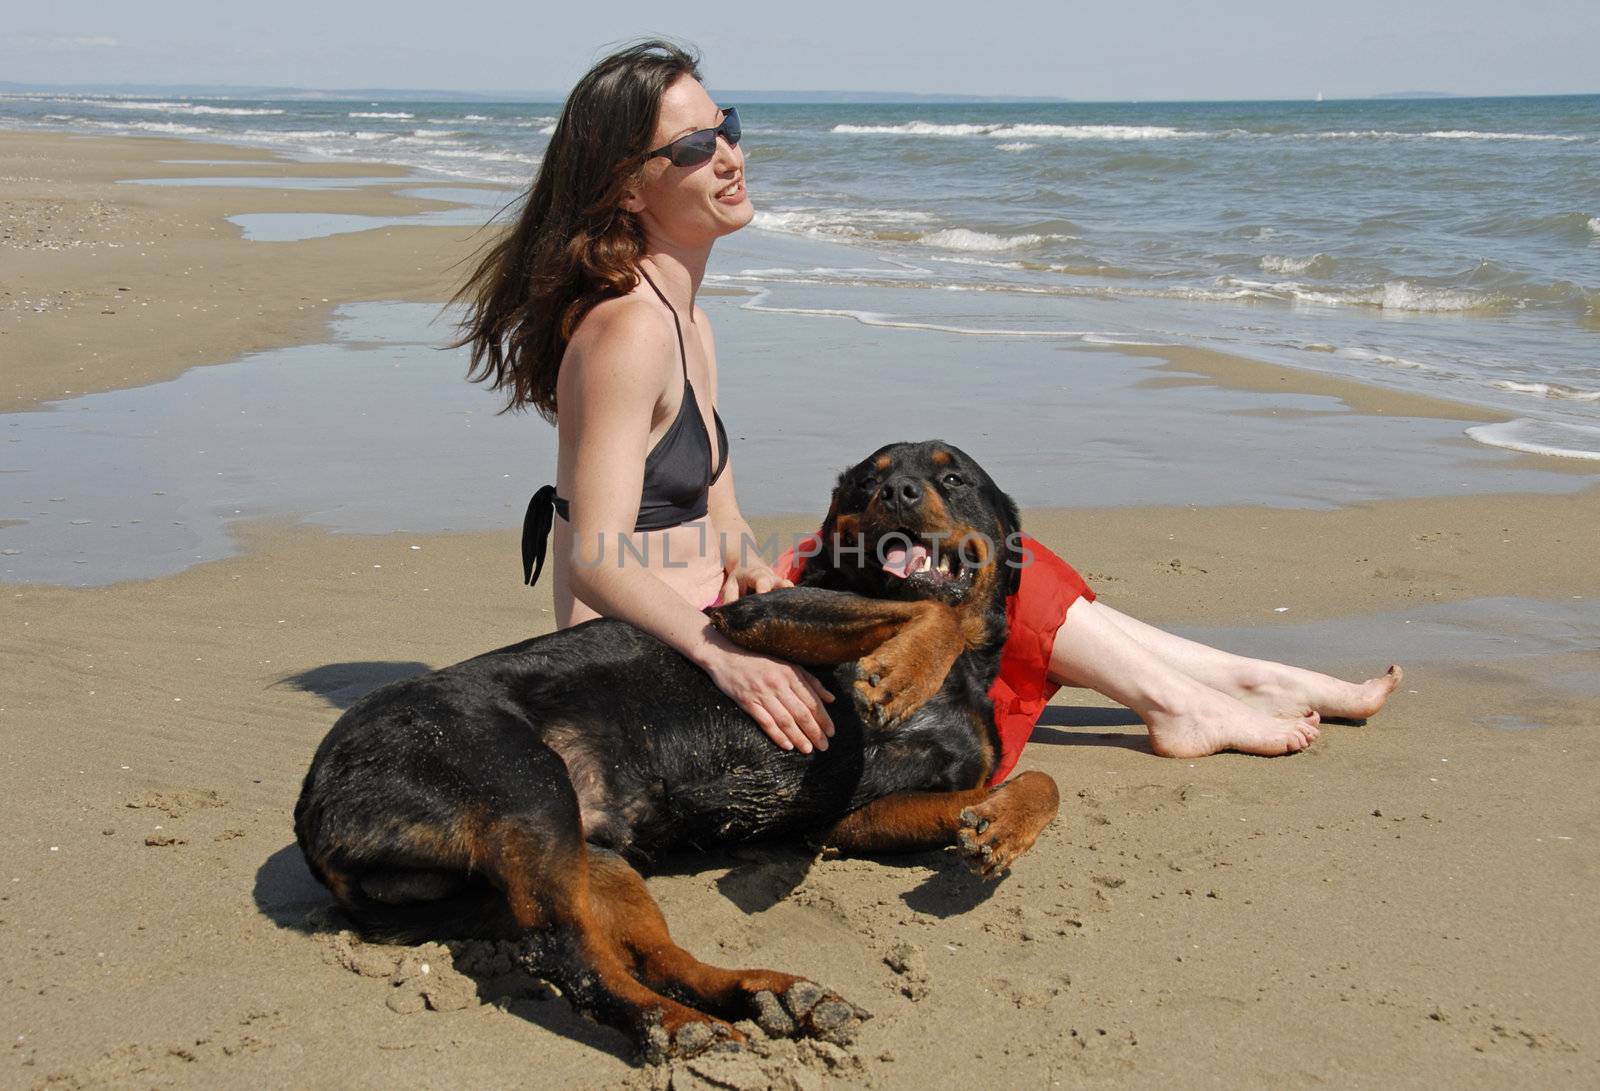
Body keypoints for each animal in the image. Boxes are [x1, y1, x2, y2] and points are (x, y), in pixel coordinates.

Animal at [294, 438, 1062, 1055]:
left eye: (952, 477)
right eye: (863, 485)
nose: (896, 493)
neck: (966, 669)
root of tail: (312, 809)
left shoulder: (855, 818)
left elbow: (1035, 783)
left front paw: (1002, 826)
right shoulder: (757, 611)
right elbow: (924, 610)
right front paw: (901, 668)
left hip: (592, 856)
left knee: (655, 955)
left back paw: (770, 995)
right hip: (526, 789)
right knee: (564, 951)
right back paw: (672, 1024)